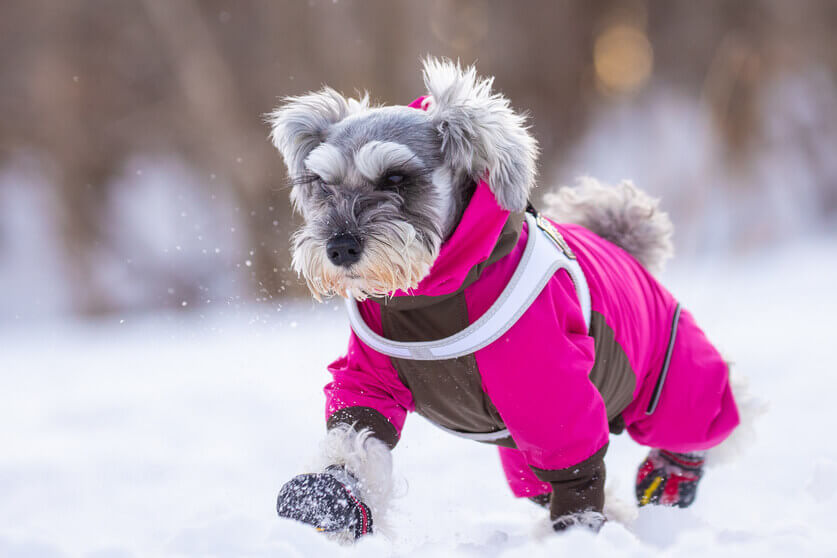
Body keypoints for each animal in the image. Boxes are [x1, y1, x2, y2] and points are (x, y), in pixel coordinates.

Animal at [266, 58, 740, 544]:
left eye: (396, 178)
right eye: (322, 184)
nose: (340, 248)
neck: (431, 300)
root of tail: (621, 244)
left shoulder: (551, 395)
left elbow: (575, 467)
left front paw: (576, 534)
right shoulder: (367, 380)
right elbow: (356, 435)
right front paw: (323, 499)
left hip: (666, 377)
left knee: (704, 417)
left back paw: (670, 476)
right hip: (521, 453)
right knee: (541, 484)